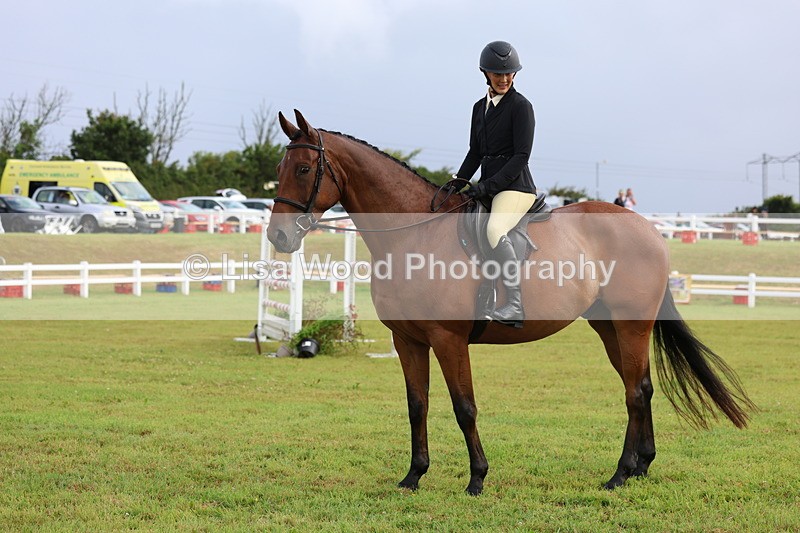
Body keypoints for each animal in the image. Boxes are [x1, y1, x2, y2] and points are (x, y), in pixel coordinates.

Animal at [267, 110, 754, 495]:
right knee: (642, 387)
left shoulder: (448, 339)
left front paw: (477, 478)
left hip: (632, 325)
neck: (414, 236)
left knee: (635, 392)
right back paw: (640, 468)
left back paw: (619, 475)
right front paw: (413, 476)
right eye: (281, 165)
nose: (278, 236)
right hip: (610, 328)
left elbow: (464, 407)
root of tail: (647, 228)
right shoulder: (408, 341)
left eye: (306, 169)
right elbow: (416, 405)